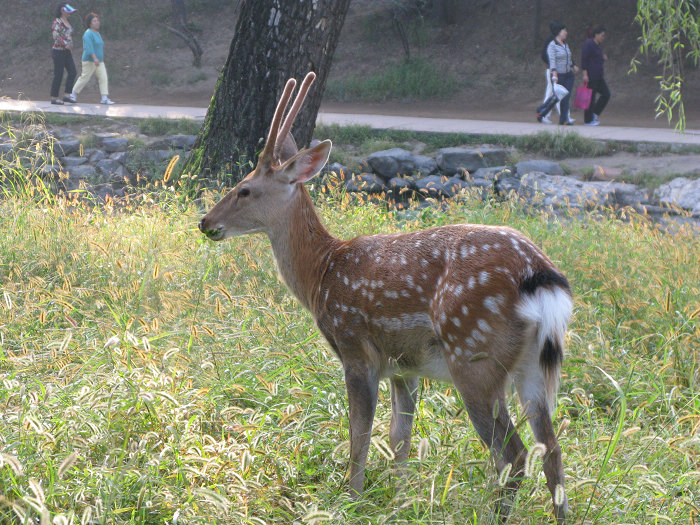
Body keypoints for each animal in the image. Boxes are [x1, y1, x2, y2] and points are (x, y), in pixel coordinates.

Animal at [198, 71, 576, 520]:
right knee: (552, 450)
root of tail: (540, 276)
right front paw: (399, 501)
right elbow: (399, 439)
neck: (322, 272)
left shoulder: (355, 349)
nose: (206, 222)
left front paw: (352, 500)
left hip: (474, 357)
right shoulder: (404, 367)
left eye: (245, 189)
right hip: (534, 365)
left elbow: (359, 436)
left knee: (513, 456)